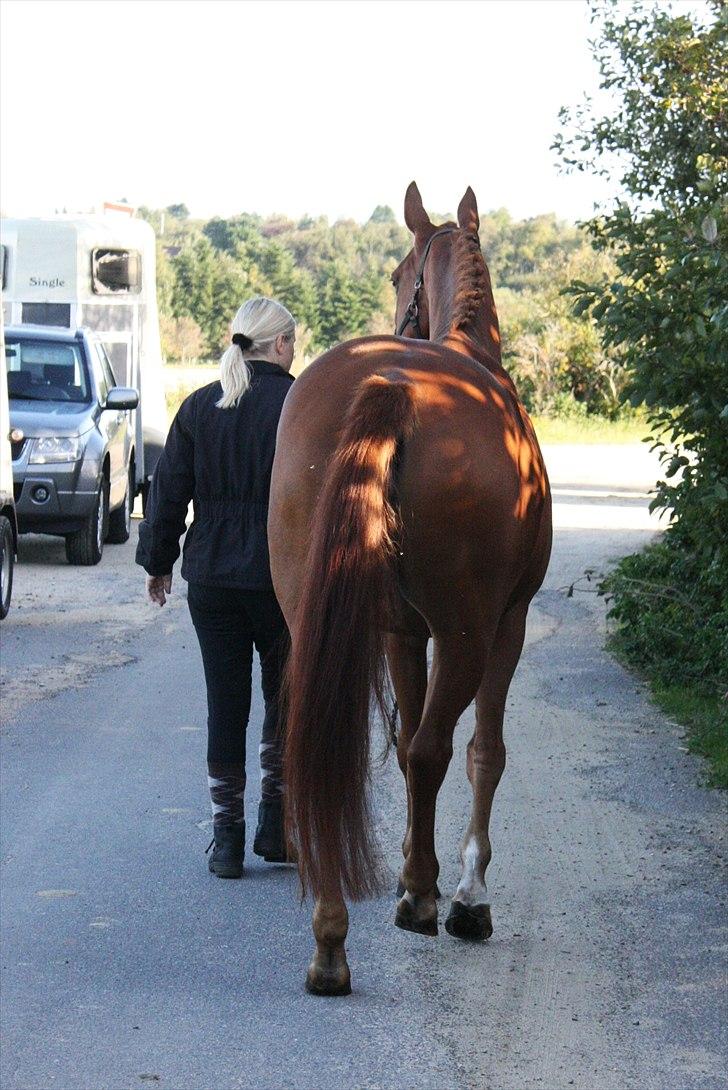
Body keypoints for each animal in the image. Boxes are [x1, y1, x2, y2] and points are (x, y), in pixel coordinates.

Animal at [269, 183, 551, 994]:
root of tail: (390, 385)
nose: (399, 309)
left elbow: (398, 747)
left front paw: (406, 870)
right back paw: (428, 901)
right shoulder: (507, 623)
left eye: (398, 274)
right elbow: (481, 750)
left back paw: (331, 938)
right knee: (435, 749)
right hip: (466, 632)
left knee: (327, 748)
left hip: (315, 618)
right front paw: (464, 891)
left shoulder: (397, 630)